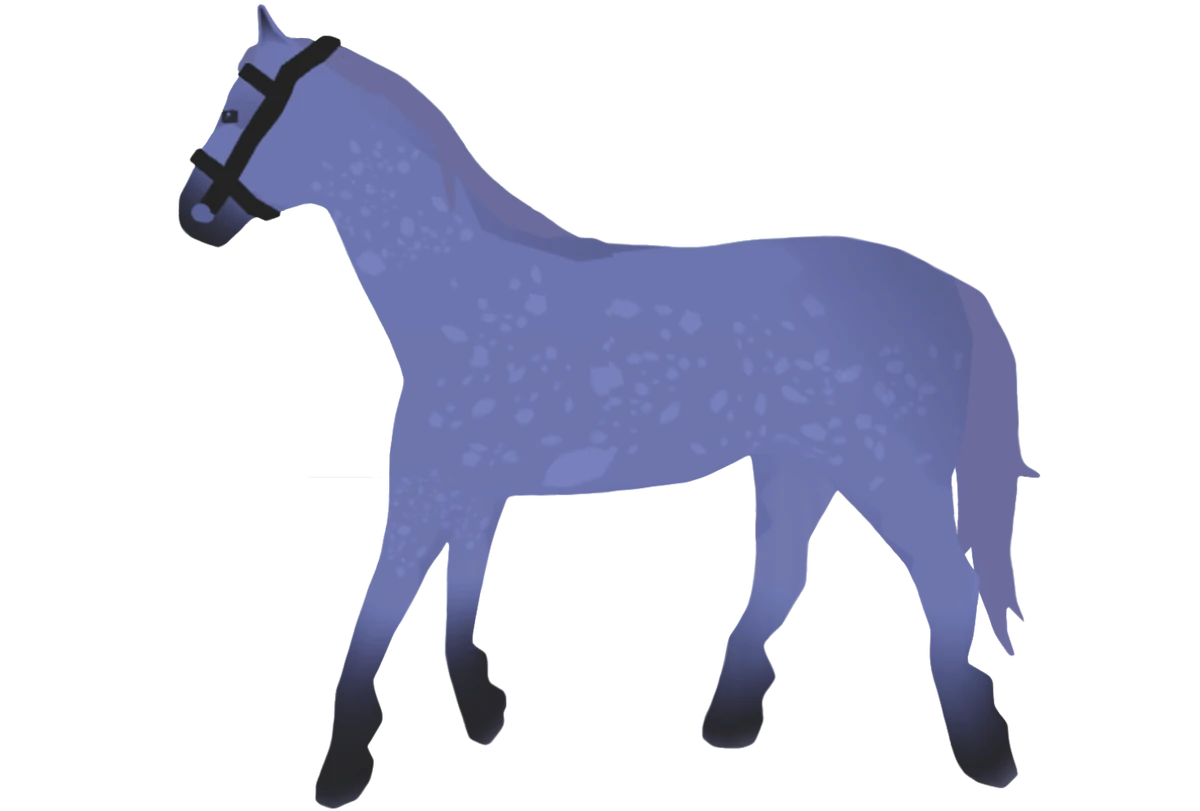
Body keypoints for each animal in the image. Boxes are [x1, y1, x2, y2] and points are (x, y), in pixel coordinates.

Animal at [179, 6, 1034, 807]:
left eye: (233, 108)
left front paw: (341, 773)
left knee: (946, 583)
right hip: (802, 466)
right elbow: (460, 594)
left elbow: (378, 608)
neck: (458, 294)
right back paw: (729, 725)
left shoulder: (425, 485)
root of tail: (947, 285)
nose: (192, 212)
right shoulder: (478, 489)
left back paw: (987, 759)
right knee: (786, 574)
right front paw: (483, 719)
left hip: (890, 468)